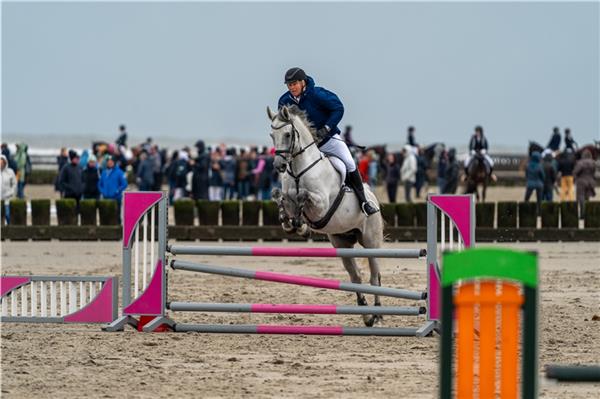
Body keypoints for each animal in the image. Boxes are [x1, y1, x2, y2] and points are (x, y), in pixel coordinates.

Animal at [266, 106, 384, 328]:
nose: (279, 166)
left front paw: (301, 224)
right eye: (271, 135)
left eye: (287, 134)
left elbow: (304, 196)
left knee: (374, 275)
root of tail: (374, 199)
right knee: (356, 275)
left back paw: (379, 315)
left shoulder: (321, 205)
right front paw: (291, 223)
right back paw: (366, 314)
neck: (298, 170)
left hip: (371, 241)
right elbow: (280, 197)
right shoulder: (288, 197)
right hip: (341, 242)